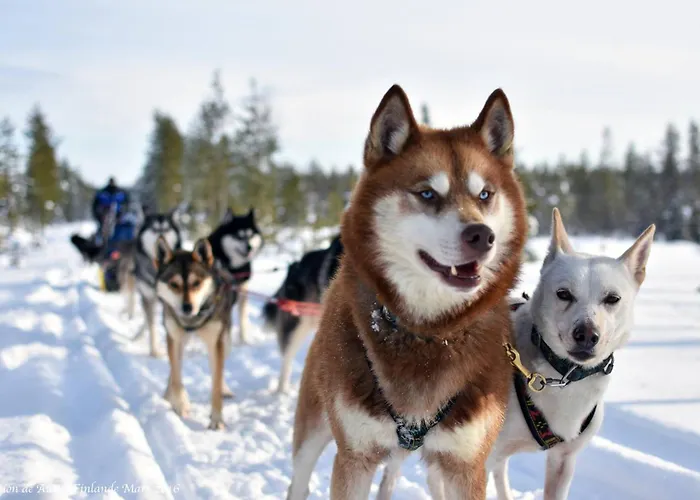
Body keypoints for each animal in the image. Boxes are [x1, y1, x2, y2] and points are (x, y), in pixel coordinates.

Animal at [287, 84, 528, 499]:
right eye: (428, 194)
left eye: (484, 195)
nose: (483, 236)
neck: (430, 335)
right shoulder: (354, 458)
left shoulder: (466, 466)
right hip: (313, 426)